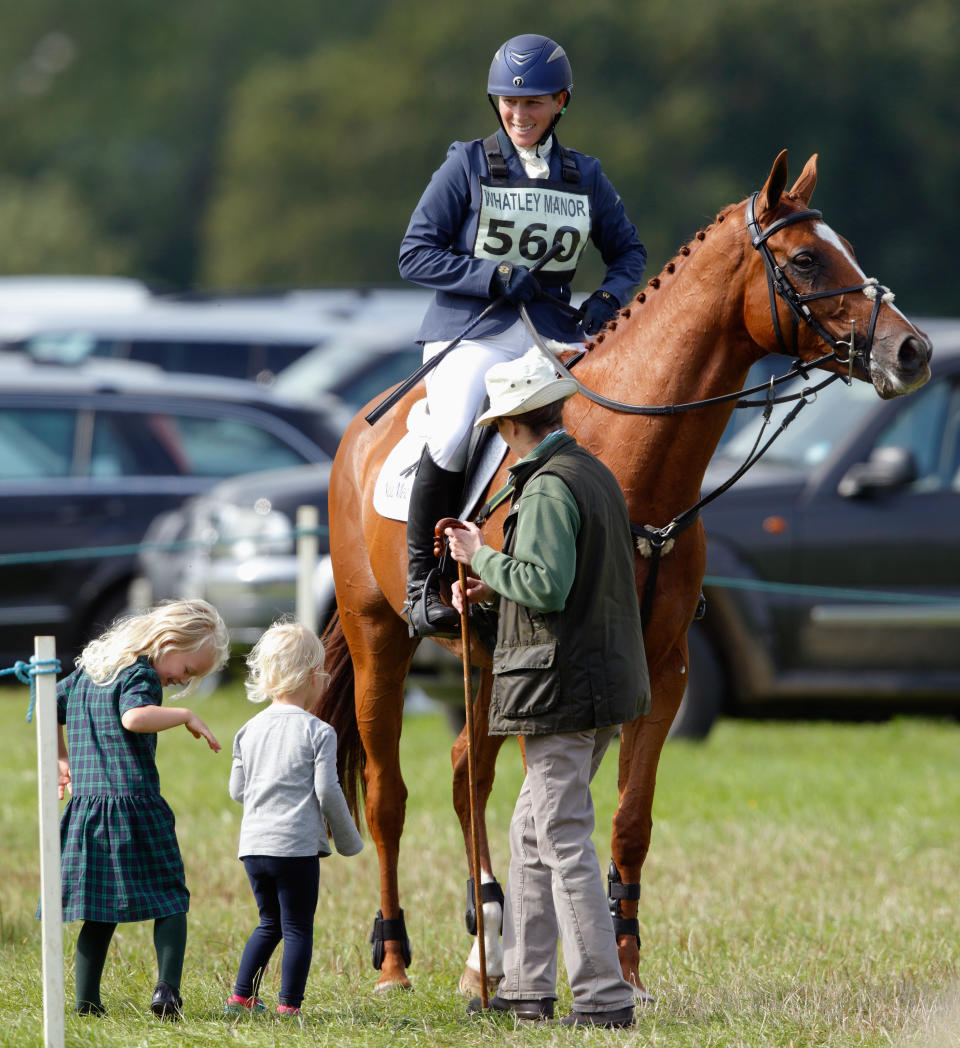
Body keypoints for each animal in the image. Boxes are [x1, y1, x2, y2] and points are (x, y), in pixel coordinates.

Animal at [314, 151, 930, 993]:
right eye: (806, 259)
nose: (913, 352)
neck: (631, 464)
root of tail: (357, 430)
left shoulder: (658, 669)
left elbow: (628, 818)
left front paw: (626, 966)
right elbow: (547, 809)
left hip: (482, 663)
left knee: (466, 772)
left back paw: (485, 942)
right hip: (380, 637)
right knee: (388, 794)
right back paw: (396, 959)